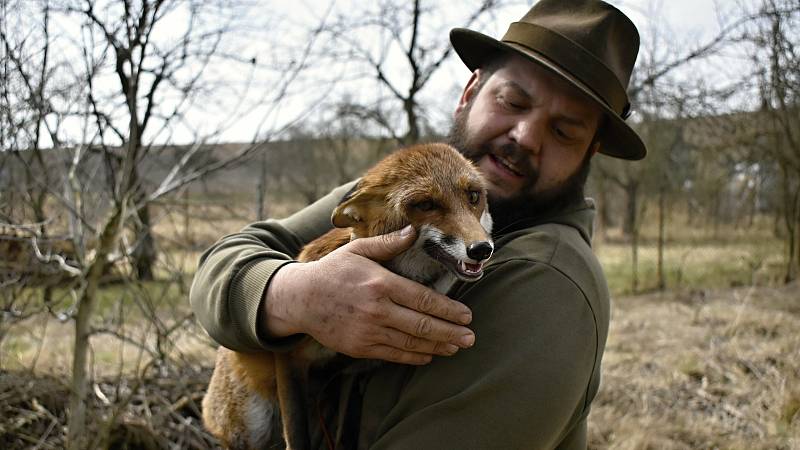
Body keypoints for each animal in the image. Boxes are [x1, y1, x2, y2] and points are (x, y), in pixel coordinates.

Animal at [205, 143, 494, 450]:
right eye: (426, 205)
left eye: (473, 197)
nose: (481, 249)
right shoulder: (290, 360)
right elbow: (297, 436)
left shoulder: (348, 378)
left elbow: (344, 434)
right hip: (253, 425)